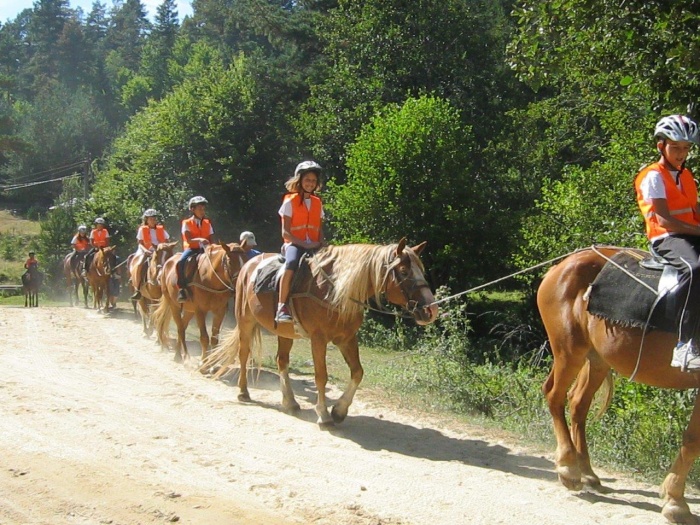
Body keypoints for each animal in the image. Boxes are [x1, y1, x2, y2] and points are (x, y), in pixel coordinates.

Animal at [202, 239, 438, 428]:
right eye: (404, 271)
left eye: (421, 269)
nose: (431, 310)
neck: (334, 291)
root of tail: (248, 266)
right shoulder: (318, 340)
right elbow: (321, 376)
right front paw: (324, 415)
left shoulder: (347, 339)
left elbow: (358, 373)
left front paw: (339, 410)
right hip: (246, 322)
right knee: (244, 354)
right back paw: (244, 392)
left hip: (285, 333)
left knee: (282, 361)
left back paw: (290, 402)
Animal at [540, 247, 700, 524]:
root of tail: (561, 266)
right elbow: (693, 439)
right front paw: (675, 502)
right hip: (568, 351)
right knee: (554, 395)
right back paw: (569, 468)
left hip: (597, 359)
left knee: (578, 404)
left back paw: (587, 472)